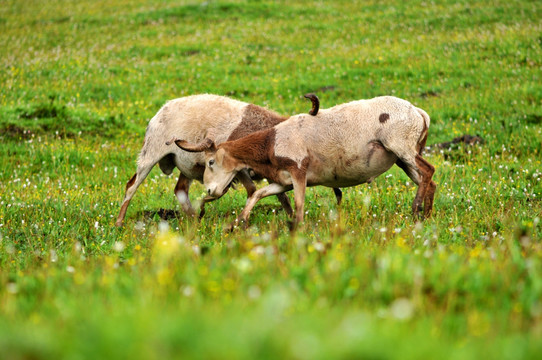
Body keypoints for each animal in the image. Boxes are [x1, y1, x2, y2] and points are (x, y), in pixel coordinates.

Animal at [116, 93, 340, 228]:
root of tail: (161, 111)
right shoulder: (239, 170)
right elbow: (254, 191)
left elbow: (281, 196)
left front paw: (290, 217)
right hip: (150, 155)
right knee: (131, 187)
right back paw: (118, 223)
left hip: (187, 166)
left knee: (180, 190)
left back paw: (195, 220)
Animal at [173, 96, 438, 228]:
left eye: (210, 162)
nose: (209, 191)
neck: (271, 142)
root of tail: (419, 112)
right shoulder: (283, 181)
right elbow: (257, 195)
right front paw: (237, 223)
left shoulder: (298, 172)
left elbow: (299, 205)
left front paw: (297, 229)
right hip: (403, 158)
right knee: (428, 181)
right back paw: (426, 214)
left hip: (402, 148)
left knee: (428, 170)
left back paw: (416, 209)